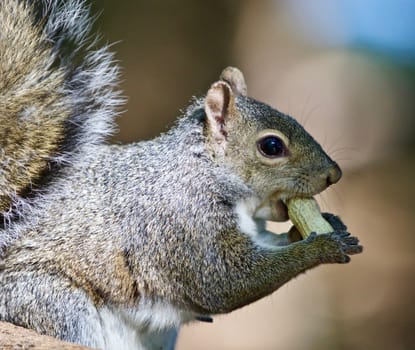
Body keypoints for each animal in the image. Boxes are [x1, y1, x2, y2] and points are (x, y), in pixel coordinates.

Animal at [0, 0, 362, 350]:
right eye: (271, 146)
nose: (333, 175)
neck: (207, 173)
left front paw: (322, 226)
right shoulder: (184, 224)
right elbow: (224, 282)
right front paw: (321, 247)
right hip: (55, 303)